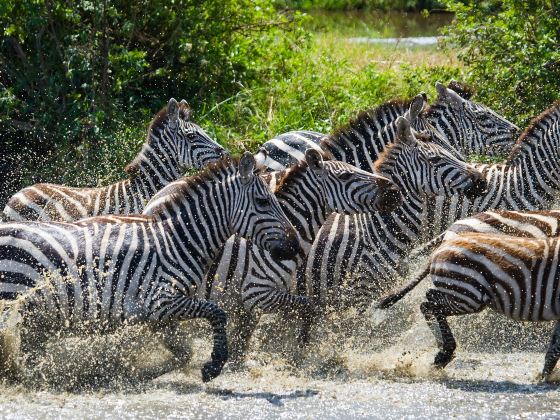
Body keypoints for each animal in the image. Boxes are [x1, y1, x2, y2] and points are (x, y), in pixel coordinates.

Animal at [0, 153, 300, 382]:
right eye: (263, 202)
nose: (296, 245)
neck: (176, 242)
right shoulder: (160, 301)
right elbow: (216, 313)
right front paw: (214, 365)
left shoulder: (158, 314)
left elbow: (183, 350)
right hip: (10, 297)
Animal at [378, 233, 560, 380]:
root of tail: (438, 249)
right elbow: (556, 348)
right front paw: (545, 378)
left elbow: (554, 348)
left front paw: (544, 376)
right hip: (468, 295)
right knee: (430, 304)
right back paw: (445, 353)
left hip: (461, 293)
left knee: (428, 300)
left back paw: (441, 350)